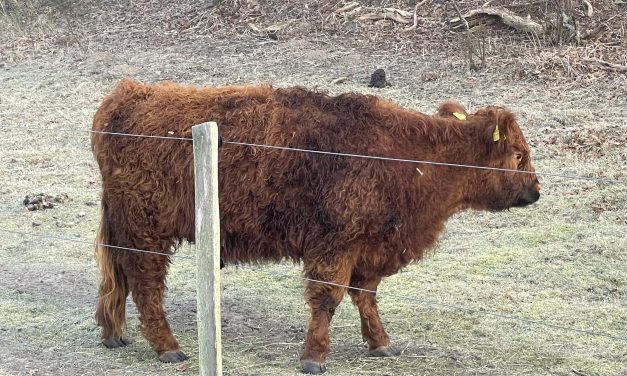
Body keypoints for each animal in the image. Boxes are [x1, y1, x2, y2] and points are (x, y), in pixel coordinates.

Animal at [92, 79, 540, 374]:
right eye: (519, 155)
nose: (536, 190)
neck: (411, 159)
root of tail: (128, 93)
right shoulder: (336, 244)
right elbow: (328, 298)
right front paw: (314, 357)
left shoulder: (368, 249)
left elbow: (365, 296)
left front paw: (380, 343)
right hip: (146, 230)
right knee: (146, 286)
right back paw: (168, 347)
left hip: (127, 228)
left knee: (118, 277)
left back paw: (113, 334)